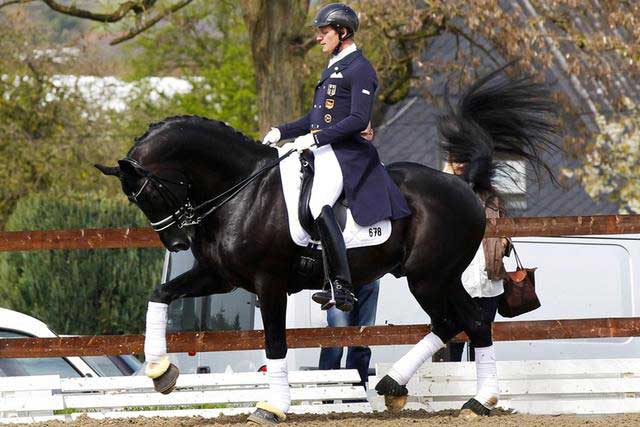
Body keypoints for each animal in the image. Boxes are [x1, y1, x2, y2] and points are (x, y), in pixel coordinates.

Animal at [97, 67, 556, 424]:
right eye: (136, 200)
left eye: (149, 194)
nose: (176, 241)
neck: (243, 190)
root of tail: (463, 186)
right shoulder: (220, 277)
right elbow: (160, 294)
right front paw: (161, 372)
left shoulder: (269, 282)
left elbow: (275, 342)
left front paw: (272, 407)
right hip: (437, 277)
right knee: (460, 322)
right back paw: (415, 389)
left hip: (429, 277)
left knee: (467, 321)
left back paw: (472, 399)